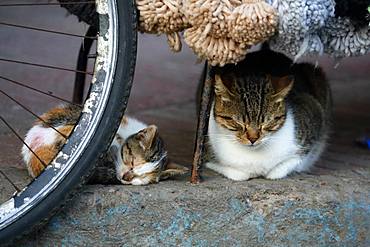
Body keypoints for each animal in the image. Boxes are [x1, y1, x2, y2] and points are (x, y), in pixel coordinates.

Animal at [205, 50, 332, 181]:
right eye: (238, 122)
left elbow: (285, 166)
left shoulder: (314, 114)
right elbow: (239, 174)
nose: (253, 139)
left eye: (267, 122)